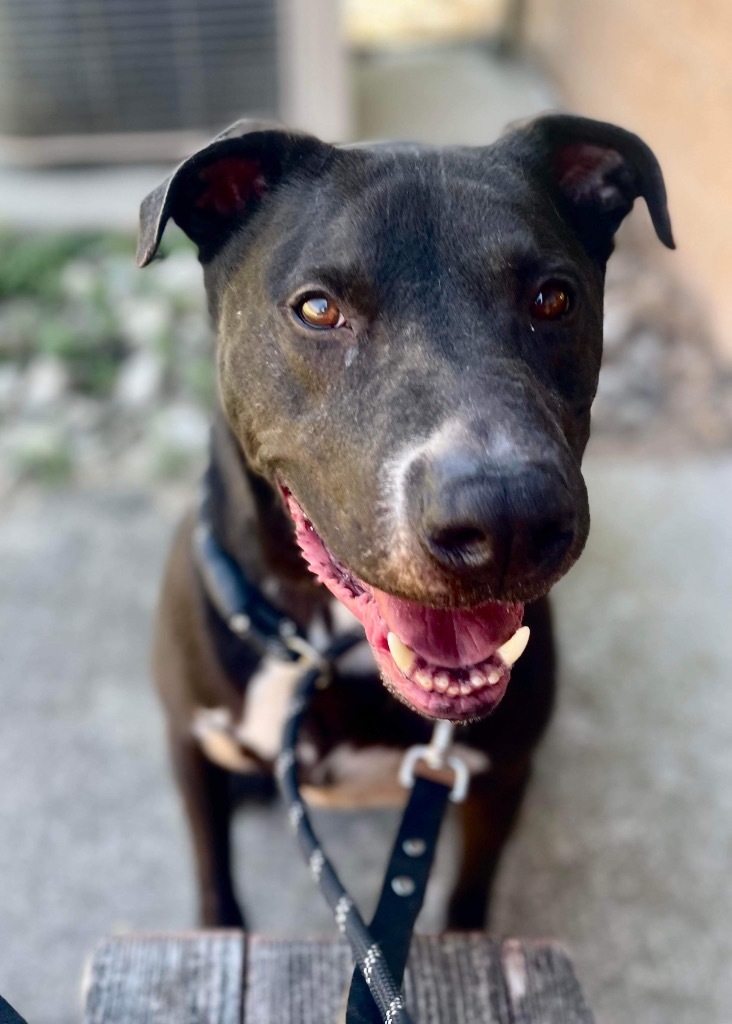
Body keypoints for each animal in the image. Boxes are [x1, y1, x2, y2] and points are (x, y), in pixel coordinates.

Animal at [139, 112, 675, 929]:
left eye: (553, 298)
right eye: (318, 308)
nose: (507, 518)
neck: (327, 652)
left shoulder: (496, 778)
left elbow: (469, 897)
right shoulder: (187, 744)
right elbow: (214, 879)